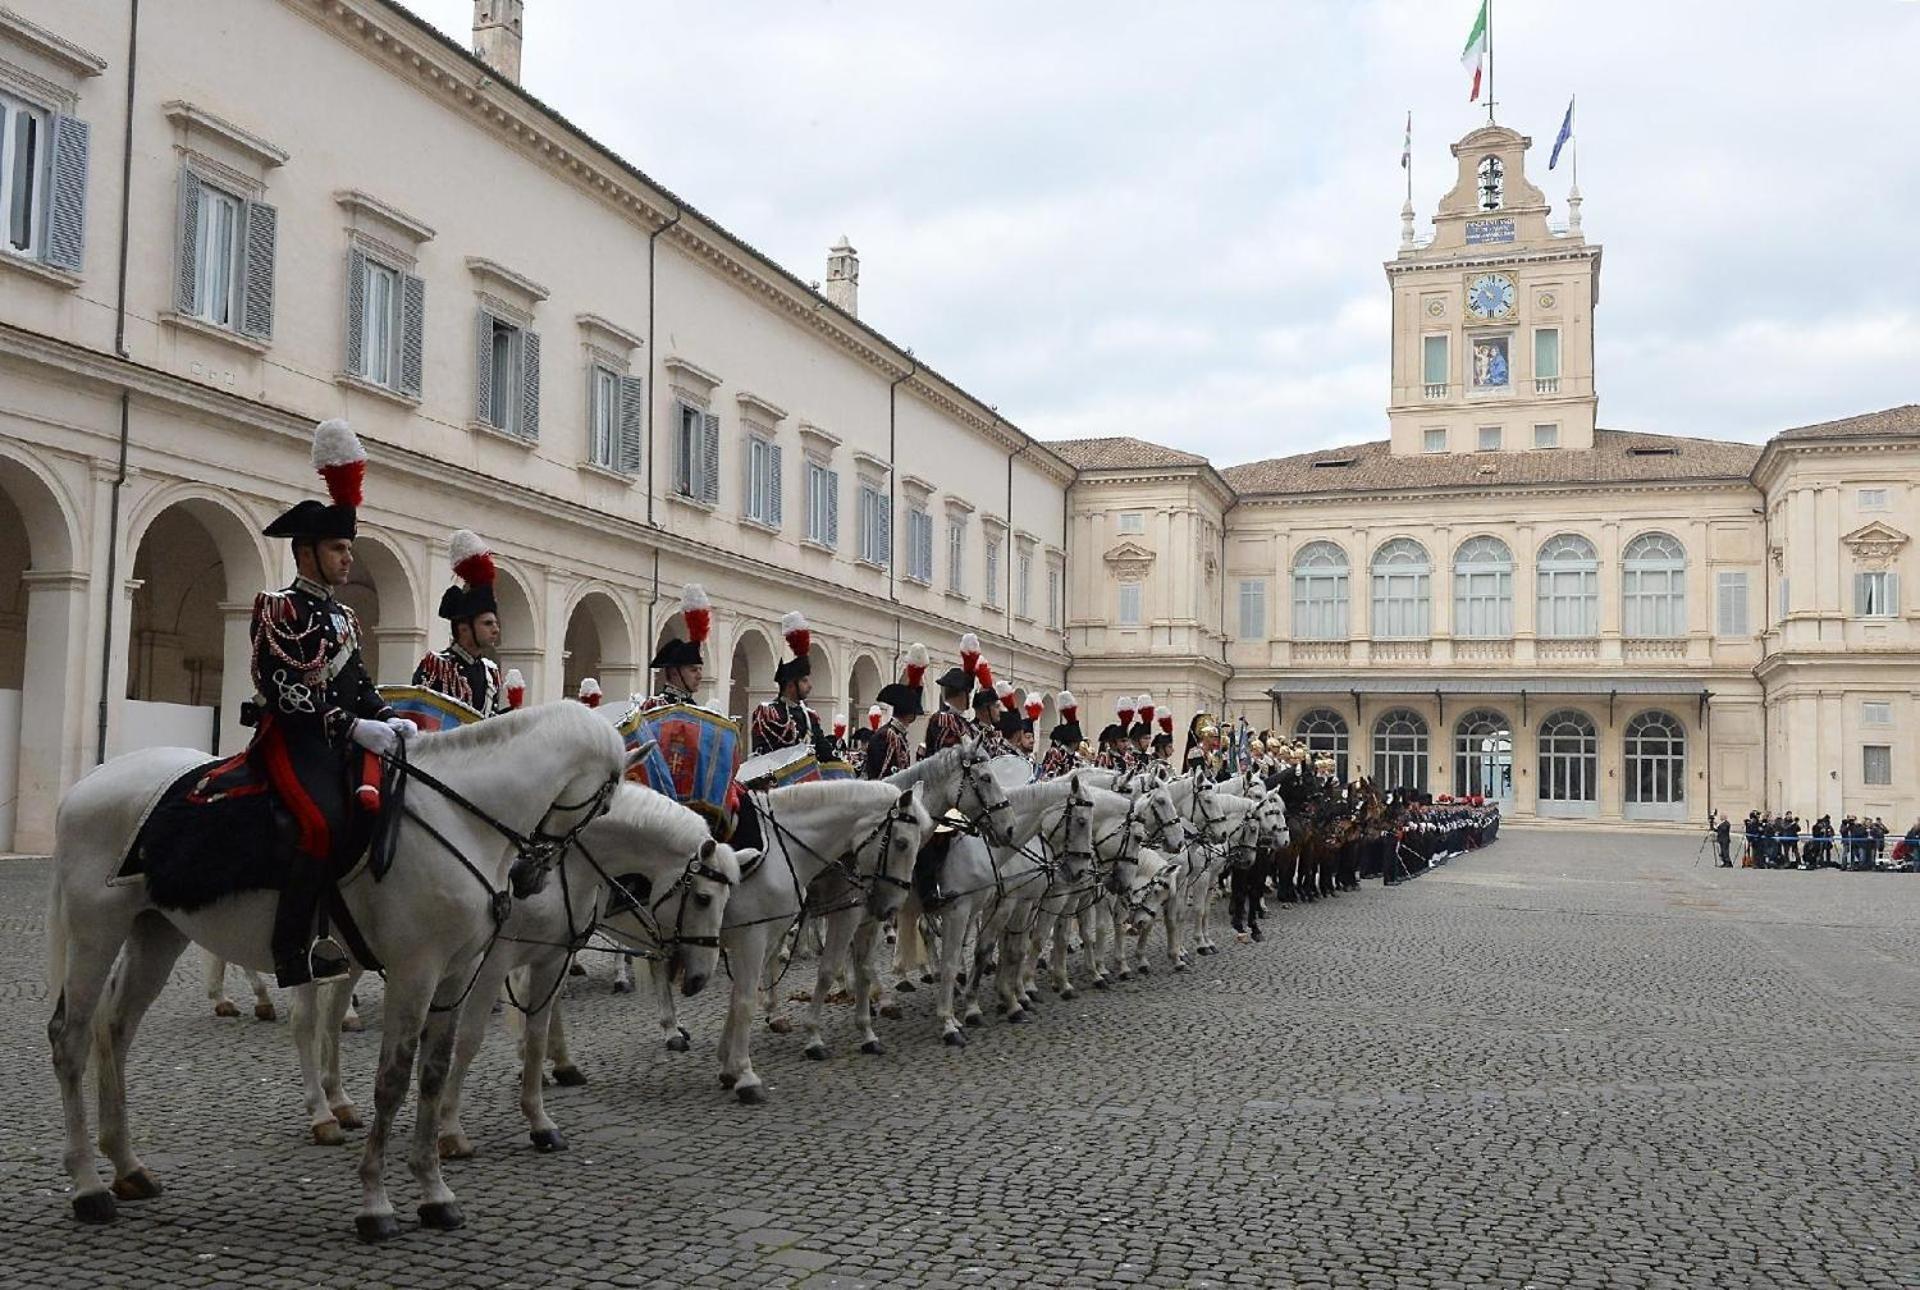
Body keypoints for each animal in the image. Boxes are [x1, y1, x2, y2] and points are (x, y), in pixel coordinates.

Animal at [46, 706, 622, 1236]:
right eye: (605, 801)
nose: (530, 878)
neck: (460, 818)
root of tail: (83, 787)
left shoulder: (455, 975)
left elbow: (433, 1074)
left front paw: (434, 1192)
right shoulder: (414, 971)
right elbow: (392, 1079)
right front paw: (376, 1201)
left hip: (157, 932)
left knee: (115, 1030)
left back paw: (128, 1167)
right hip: (96, 930)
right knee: (71, 1038)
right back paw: (89, 1187)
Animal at [439, 787, 744, 1159]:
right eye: (703, 898)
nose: (699, 979)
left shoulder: (554, 953)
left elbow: (538, 1028)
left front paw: (540, 1111)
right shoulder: (495, 961)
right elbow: (469, 1038)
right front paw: (450, 1129)